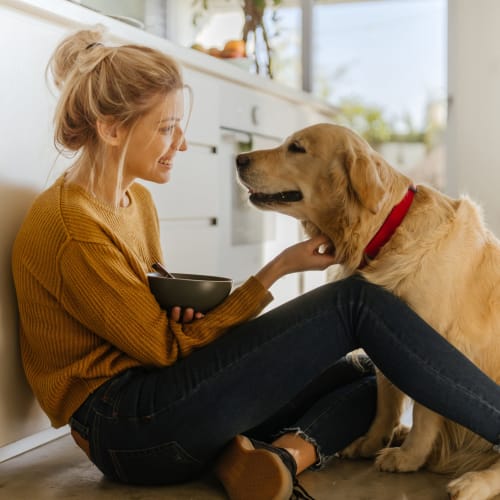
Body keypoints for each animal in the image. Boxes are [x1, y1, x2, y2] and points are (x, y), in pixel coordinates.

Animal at [236, 124, 500, 500]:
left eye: (296, 148)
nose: (239, 158)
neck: (387, 232)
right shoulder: (386, 330)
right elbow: (385, 402)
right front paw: (372, 441)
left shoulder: (434, 337)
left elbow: (424, 412)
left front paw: (408, 458)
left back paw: (472, 482)